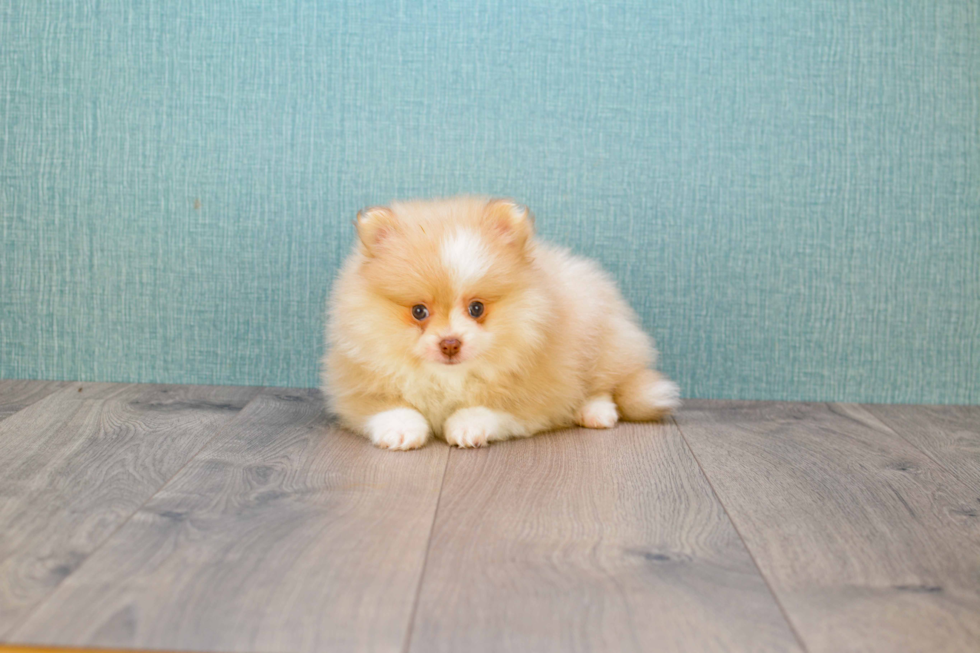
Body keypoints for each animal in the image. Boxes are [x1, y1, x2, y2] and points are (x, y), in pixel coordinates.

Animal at [322, 194, 680, 448]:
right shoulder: (356, 380)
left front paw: (467, 425)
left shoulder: (539, 391)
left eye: (477, 308)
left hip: (601, 338)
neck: (448, 379)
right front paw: (400, 430)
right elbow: (387, 405)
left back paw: (594, 412)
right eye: (419, 311)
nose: (450, 343)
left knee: (604, 385)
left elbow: (494, 407)